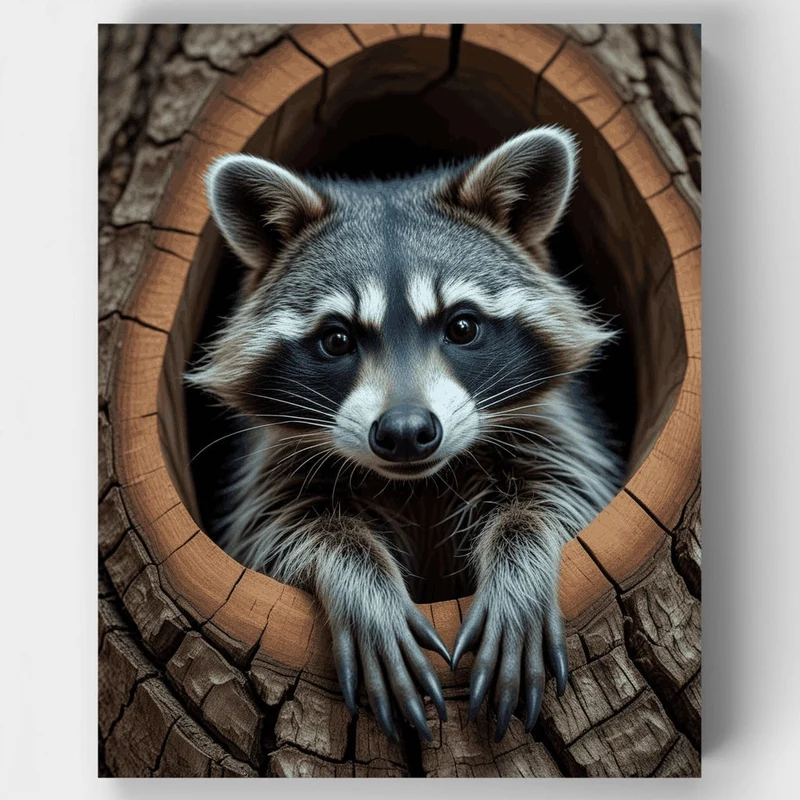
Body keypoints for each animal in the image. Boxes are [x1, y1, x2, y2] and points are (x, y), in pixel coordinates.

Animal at [187, 127, 625, 744]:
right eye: (337, 339)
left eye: (462, 326)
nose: (405, 432)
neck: (418, 482)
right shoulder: (272, 472)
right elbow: (279, 534)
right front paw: (359, 579)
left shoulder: (554, 430)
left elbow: (563, 499)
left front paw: (521, 557)